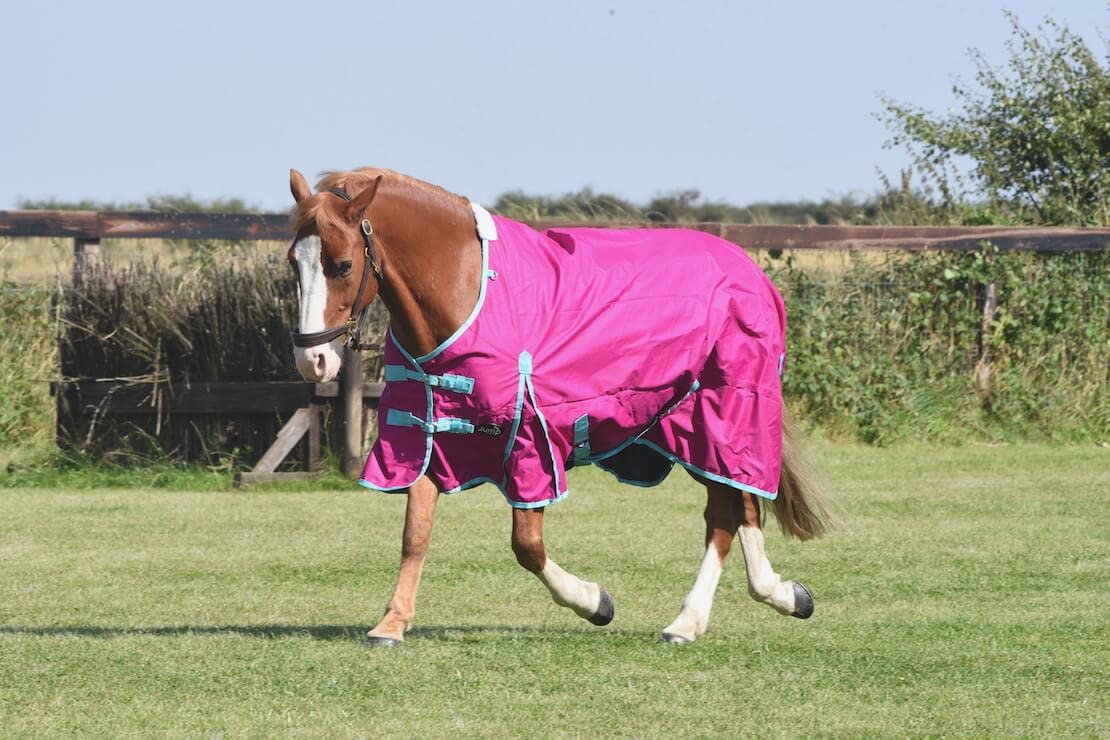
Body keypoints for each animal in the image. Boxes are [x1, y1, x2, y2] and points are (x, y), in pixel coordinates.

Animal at [286, 166, 835, 646]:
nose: (313, 360)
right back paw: (769, 598)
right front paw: (391, 625)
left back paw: (698, 618)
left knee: (729, 509)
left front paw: (595, 602)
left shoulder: (530, 442)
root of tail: (748, 268)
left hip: (723, 418)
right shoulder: (423, 434)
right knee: (737, 507)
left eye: (342, 265)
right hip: (692, 428)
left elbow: (527, 546)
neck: (466, 291)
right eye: (294, 262)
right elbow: (414, 534)